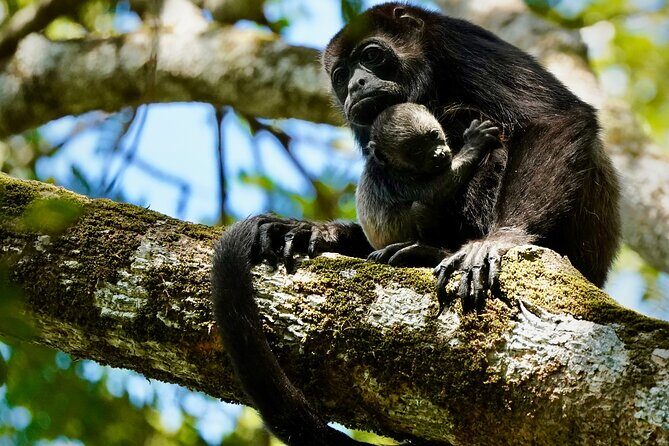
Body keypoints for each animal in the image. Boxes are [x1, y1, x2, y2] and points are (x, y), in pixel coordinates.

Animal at [360, 102, 501, 266]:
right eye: (416, 151)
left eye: (434, 135)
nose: (438, 154)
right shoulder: (398, 180)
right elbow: (434, 192)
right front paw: (474, 143)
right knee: (421, 206)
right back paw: (428, 252)